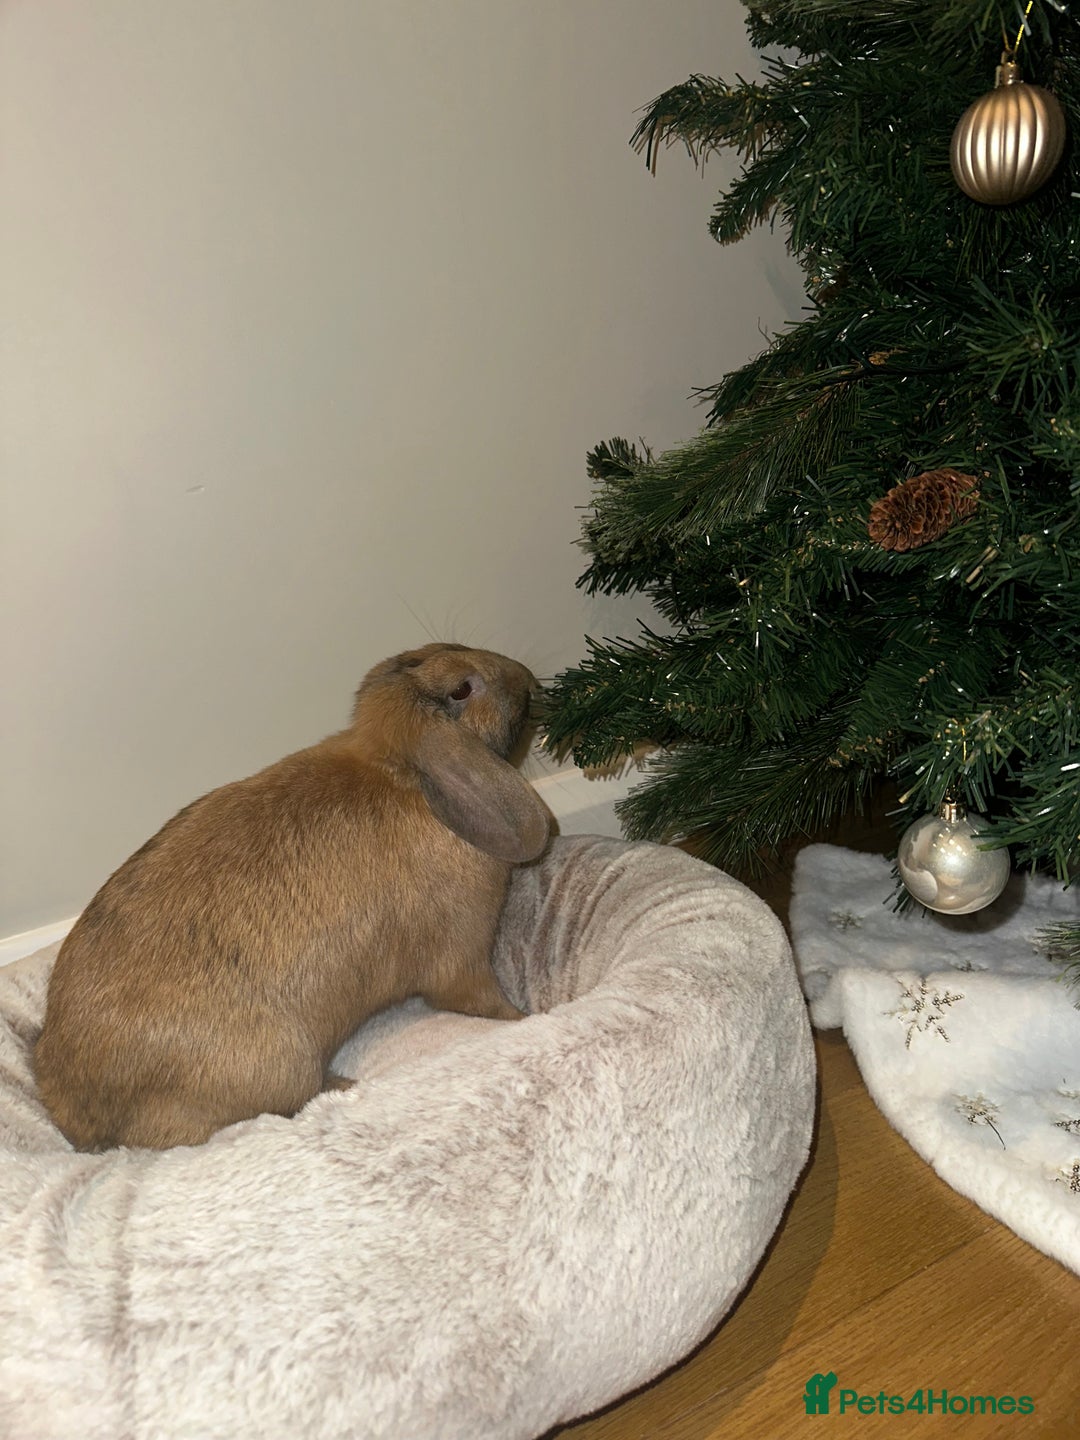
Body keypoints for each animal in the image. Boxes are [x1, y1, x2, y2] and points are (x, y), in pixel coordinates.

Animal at [34, 642, 551, 1152]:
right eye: (462, 689)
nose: (529, 678)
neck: (405, 777)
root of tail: (72, 1113)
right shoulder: (462, 958)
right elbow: (483, 1001)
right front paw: (528, 1016)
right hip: (284, 1066)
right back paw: (342, 1085)